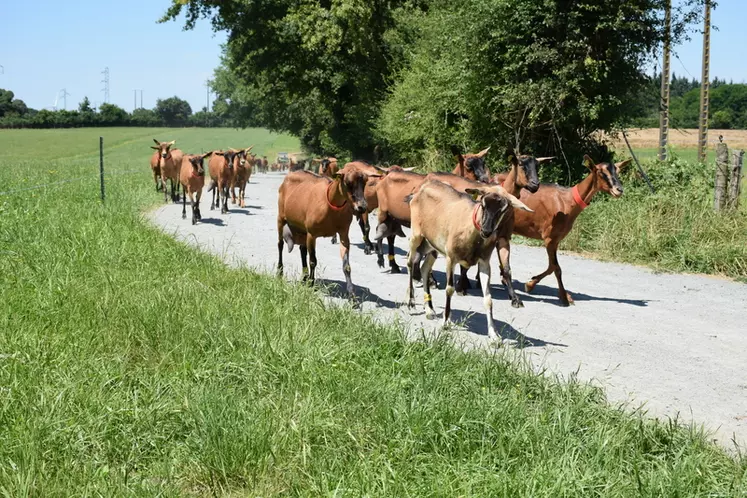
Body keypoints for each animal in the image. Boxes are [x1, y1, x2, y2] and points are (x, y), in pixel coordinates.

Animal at [276, 163, 382, 298]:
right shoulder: (312, 234)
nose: (362, 207)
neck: (330, 206)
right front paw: (311, 283)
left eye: (365, 182)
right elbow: (313, 261)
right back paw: (280, 272)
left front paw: (351, 294)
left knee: (302, 249)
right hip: (281, 218)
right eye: (347, 182)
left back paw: (304, 277)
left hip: (302, 227)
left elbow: (346, 265)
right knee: (280, 245)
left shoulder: (343, 234)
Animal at [406, 179, 536, 338]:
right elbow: (449, 289)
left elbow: (488, 299)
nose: (486, 231)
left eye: (503, 210)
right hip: (417, 236)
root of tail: (421, 189)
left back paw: (429, 310)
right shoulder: (451, 258)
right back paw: (410, 301)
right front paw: (446, 323)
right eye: (483, 203)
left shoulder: (485, 262)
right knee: (410, 262)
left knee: (424, 268)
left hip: (432, 246)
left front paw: (494, 335)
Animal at [508, 155, 632, 308]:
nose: (619, 190)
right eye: (601, 172)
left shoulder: (556, 240)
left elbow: (552, 266)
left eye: (618, 171)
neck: (567, 202)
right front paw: (564, 297)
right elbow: (556, 268)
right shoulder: (549, 237)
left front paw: (531, 284)